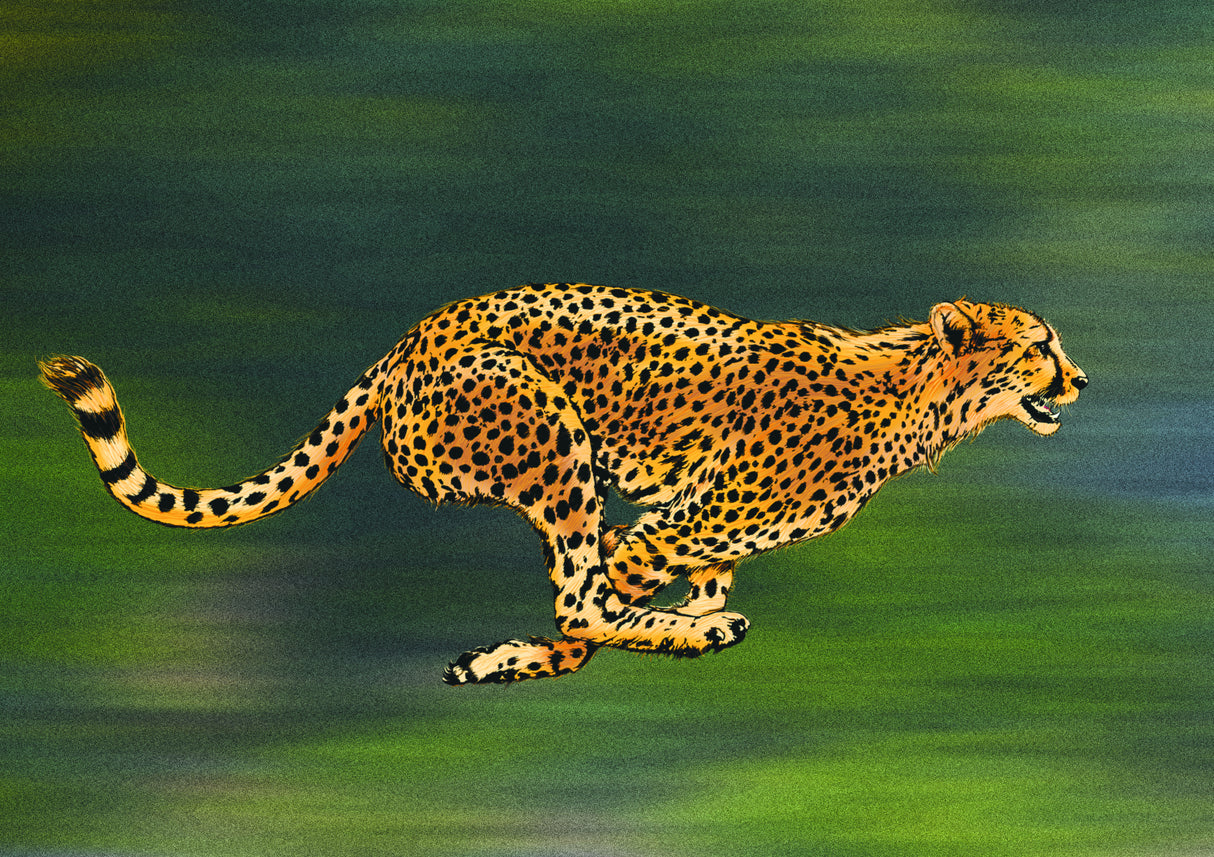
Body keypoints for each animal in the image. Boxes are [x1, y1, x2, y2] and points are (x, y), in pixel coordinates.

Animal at [40, 283, 1087, 684]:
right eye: (1039, 346)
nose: (1079, 379)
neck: (920, 394)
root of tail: (409, 337)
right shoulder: (663, 527)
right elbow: (590, 615)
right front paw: (661, 635)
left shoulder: (692, 535)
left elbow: (652, 598)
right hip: (551, 431)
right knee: (577, 592)